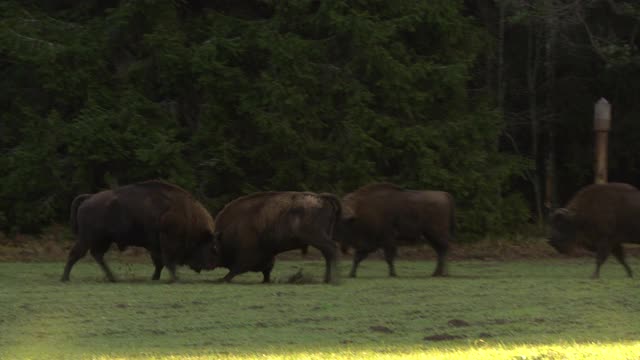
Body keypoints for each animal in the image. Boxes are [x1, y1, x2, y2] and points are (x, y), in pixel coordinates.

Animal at [62, 181, 218, 282]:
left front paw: (155, 278)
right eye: (211, 247)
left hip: (103, 240)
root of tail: (89, 198)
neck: (187, 214)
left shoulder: (155, 246)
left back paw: (113, 278)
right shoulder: (166, 243)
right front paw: (175, 278)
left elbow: (160, 263)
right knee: (76, 254)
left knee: (97, 255)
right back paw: (65, 278)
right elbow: (167, 261)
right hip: (88, 238)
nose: (210, 266)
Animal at [211, 191, 342, 284]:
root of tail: (322, 198)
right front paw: (266, 281)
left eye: (214, 249)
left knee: (331, 249)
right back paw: (327, 279)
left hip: (317, 237)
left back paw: (332, 280)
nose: (208, 266)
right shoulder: (268, 254)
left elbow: (237, 268)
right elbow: (266, 269)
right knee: (328, 254)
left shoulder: (247, 254)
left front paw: (223, 279)